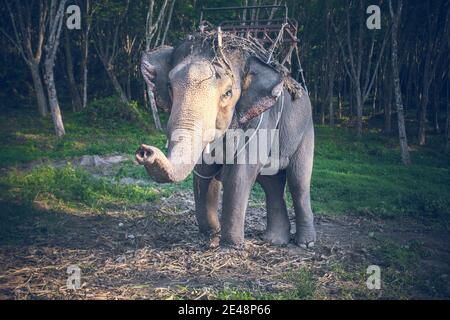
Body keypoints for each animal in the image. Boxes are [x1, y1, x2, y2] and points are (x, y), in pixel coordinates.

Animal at [137, 33, 316, 248]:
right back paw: (274, 240)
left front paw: (231, 245)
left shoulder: (261, 120)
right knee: (271, 182)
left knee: (298, 181)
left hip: (306, 129)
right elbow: (204, 172)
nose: (145, 150)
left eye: (228, 93)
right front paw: (211, 235)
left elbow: (239, 175)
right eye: (170, 87)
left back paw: (305, 243)